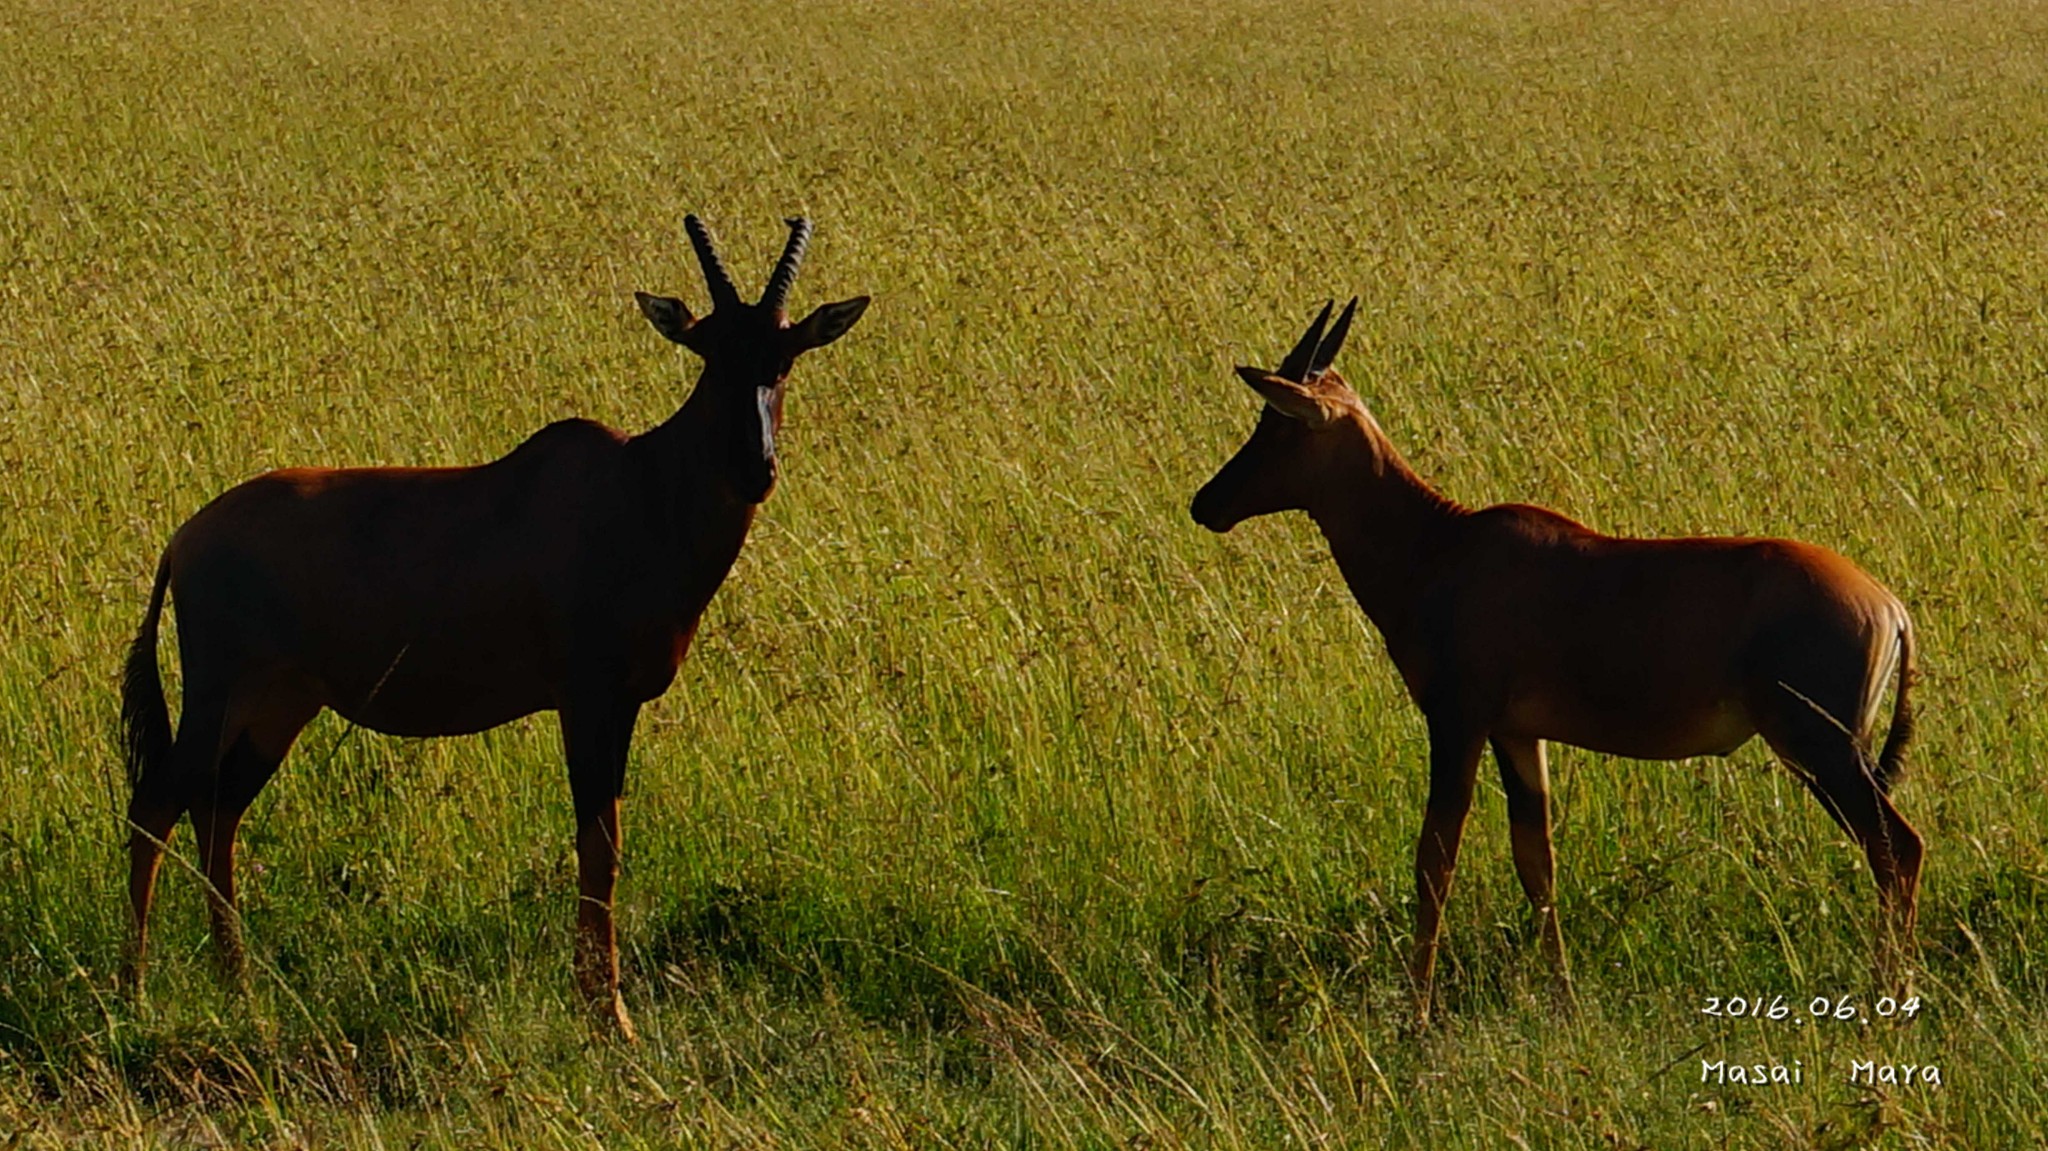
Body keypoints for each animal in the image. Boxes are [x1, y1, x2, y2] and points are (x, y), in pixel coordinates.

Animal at [117, 212, 872, 1032]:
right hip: (222, 697)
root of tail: (184, 540)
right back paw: (134, 995)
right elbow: (599, 842)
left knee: (217, 808)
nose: (755, 468)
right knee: (156, 803)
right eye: (707, 349)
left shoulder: (618, 705)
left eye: (786, 355)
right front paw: (610, 1017)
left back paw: (241, 989)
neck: (638, 487)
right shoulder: (589, 699)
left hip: (278, 707)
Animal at [1187, 301, 1916, 1015]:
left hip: (1822, 749)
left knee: (1897, 848)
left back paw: (1888, 994)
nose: (1206, 502)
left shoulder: (1457, 722)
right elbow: (1535, 859)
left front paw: (1416, 1015)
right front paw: (1562, 995)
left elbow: (1435, 858)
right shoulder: (1518, 733)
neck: (1442, 546)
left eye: (1277, 422)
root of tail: (1889, 606)